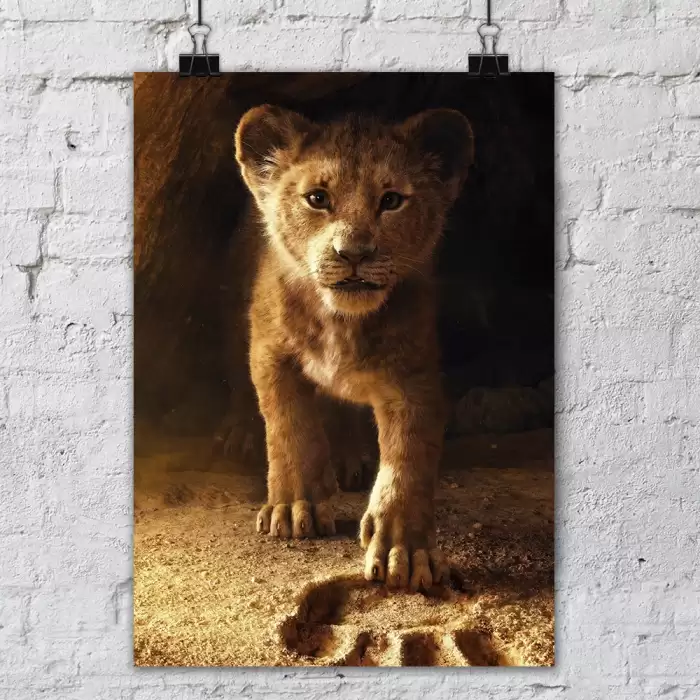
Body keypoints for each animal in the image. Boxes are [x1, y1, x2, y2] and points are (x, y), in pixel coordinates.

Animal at [233, 104, 473, 590]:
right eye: (317, 198)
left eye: (392, 200)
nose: (354, 253)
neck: (341, 321)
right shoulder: (270, 352)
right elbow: (289, 428)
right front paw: (294, 507)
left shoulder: (413, 376)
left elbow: (408, 459)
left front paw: (406, 550)